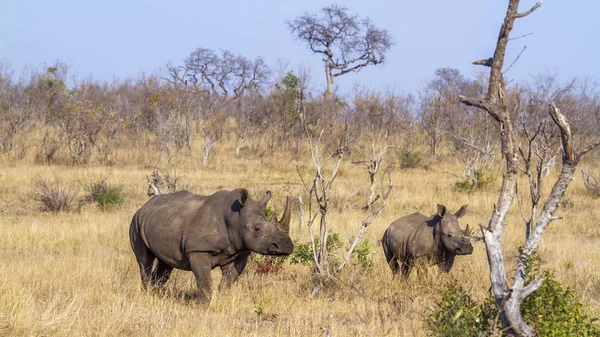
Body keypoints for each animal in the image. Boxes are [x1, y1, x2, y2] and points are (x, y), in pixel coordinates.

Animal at [129, 189, 292, 300]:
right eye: (257, 229)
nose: (286, 246)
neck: (235, 218)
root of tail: (144, 205)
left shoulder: (240, 252)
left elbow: (228, 281)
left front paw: (222, 299)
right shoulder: (198, 250)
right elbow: (205, 281)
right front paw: (203, 305)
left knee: (165, 264)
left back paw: (156, 293)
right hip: (136, 221)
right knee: (145, 261)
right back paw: (147, 293)